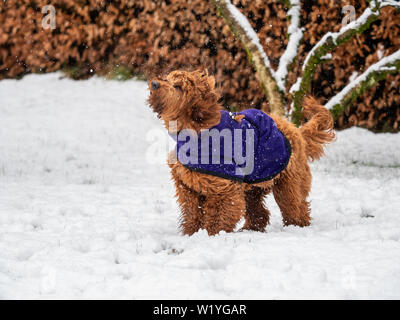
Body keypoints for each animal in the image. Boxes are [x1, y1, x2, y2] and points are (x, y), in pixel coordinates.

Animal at [147, 70, 334, 235]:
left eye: (178, 86)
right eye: (167, 77)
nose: (154, 83)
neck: (198, 131)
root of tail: (296, 130)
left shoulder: (224, 190)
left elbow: (218, 217)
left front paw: (212, 235)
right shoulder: (187, 187)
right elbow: (192, 213)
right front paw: (191, 233)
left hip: (288, 184)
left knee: (296, 207)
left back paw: (296, 227)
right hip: (254, 185)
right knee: (260, 212)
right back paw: (250, 229)